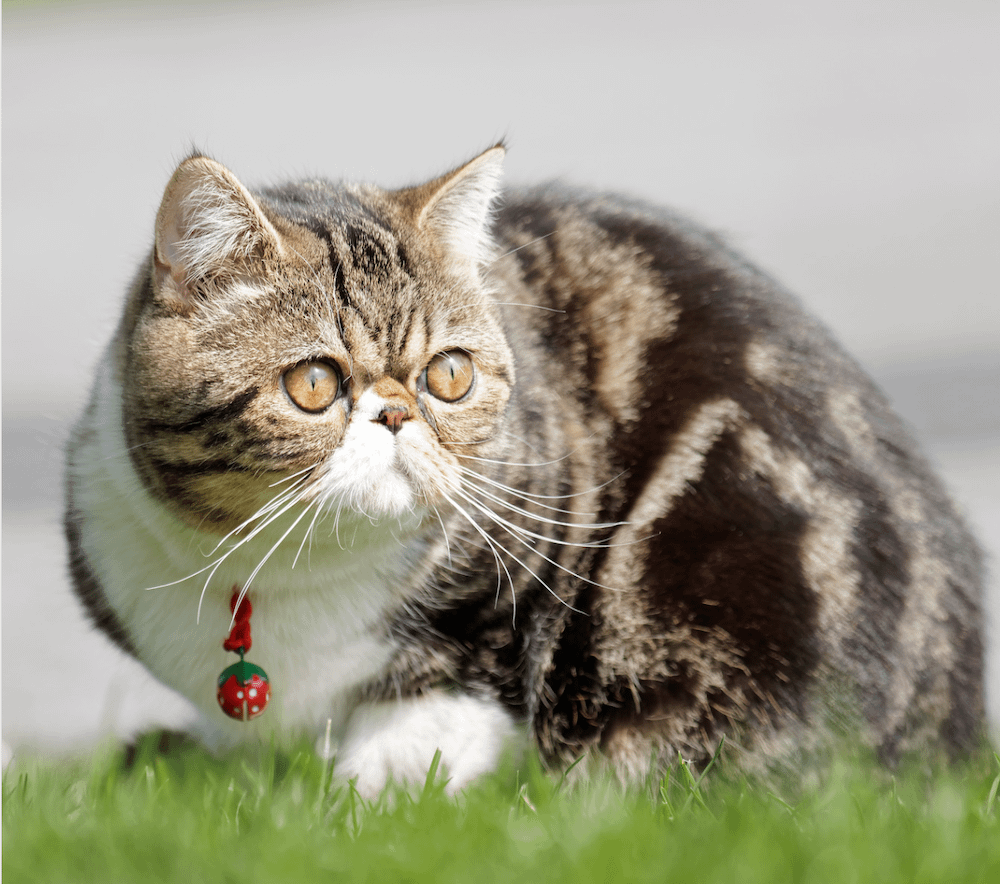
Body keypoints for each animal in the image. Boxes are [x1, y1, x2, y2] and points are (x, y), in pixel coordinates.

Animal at [66, 145, 988, 796]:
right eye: (315, 383)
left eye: (448, 374)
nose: (395, 412)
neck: (292, 570)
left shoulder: (521, 573)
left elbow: (430, 723)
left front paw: (357, 800)